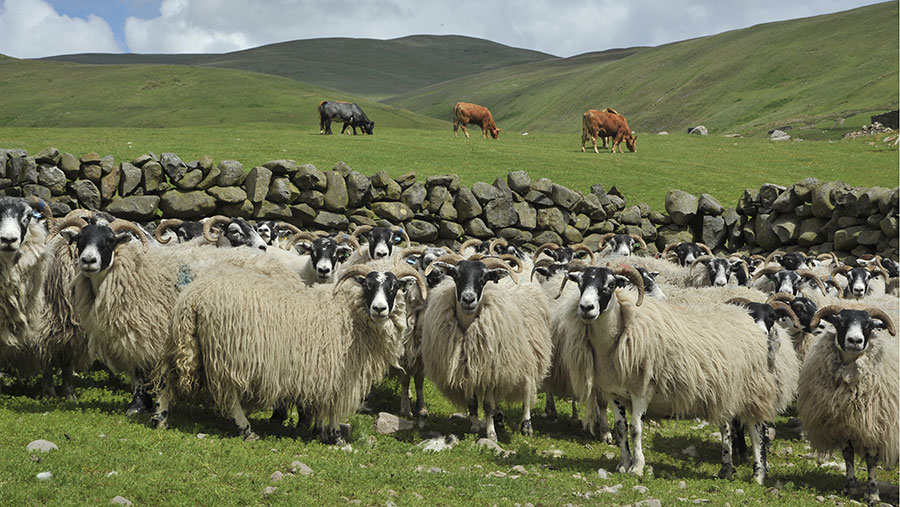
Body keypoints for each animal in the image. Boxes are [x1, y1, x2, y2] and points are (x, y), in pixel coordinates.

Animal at [151, 263, 425, 442]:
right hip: (230, 352)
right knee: (229, 396)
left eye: (394, 287)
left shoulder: (322, 371)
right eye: (367, 285)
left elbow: (320, 405)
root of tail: (194, 297)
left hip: (185, 342)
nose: (379, 309)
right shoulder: (339, 372)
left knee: (168, 379)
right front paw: (335, 436)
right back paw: (246, 429)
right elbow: (333, 407)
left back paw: (159, 419)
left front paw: (319, 430)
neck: (349, 313)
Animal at [421, 254, 552, 441]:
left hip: (528, 352)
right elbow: (473, 402)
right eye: (456, 275)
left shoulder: (491, 370)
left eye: (483, 279)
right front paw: (475, 426)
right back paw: (499, 418)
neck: (468, 325)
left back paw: (526, 426)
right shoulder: (467, 369)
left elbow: (488, 404)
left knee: (527, 387)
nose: (468, 299)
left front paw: (491, 435)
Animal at [553, 262, 794, 483]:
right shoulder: (614, 393)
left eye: (610, 285)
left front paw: (637, 467)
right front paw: (623, 464)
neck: (618, 337)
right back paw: (726, 469)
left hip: (752, 388)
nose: (586, 308)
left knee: (756, 430)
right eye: (580, 283)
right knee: (727, 427)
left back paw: (758, 474)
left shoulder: (642, 391)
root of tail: (748, 322)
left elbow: (635, 429)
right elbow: (621, 429)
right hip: (725, 390)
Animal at [797, 305, 898, 504]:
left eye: (868, 325)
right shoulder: (842, 426)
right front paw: (850, 487)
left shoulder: (874, 426)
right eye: (839, 322)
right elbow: (848, 456)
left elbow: (871, 460)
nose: (855, 340)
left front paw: (872, 493)